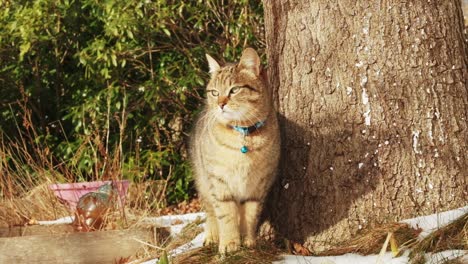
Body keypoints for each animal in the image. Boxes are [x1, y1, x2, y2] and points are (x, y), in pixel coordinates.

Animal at [188, 48, 280, 254]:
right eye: (214, 92)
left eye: (234, 90)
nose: (220, 104)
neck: (243, 134)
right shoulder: (219, 182)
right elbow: (225, 215)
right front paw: (229, 243)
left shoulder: (258, 186)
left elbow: (250, 215)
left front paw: (248, 240)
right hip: (203, 181)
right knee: (210, 211)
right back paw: (212, 236)